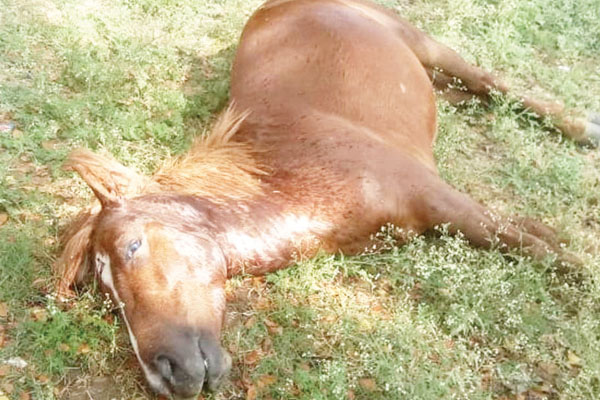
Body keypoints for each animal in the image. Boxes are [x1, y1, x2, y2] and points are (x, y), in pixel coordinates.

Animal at [55, 0, 596, 396]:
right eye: (104, 294)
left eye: (132, 247)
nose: (164, 374)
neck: (303, 173)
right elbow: (534, 239)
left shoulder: (444, 200)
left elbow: (547, 252)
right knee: (471, 93)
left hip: (423, 42)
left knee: (492, 83)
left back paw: (582, 128)